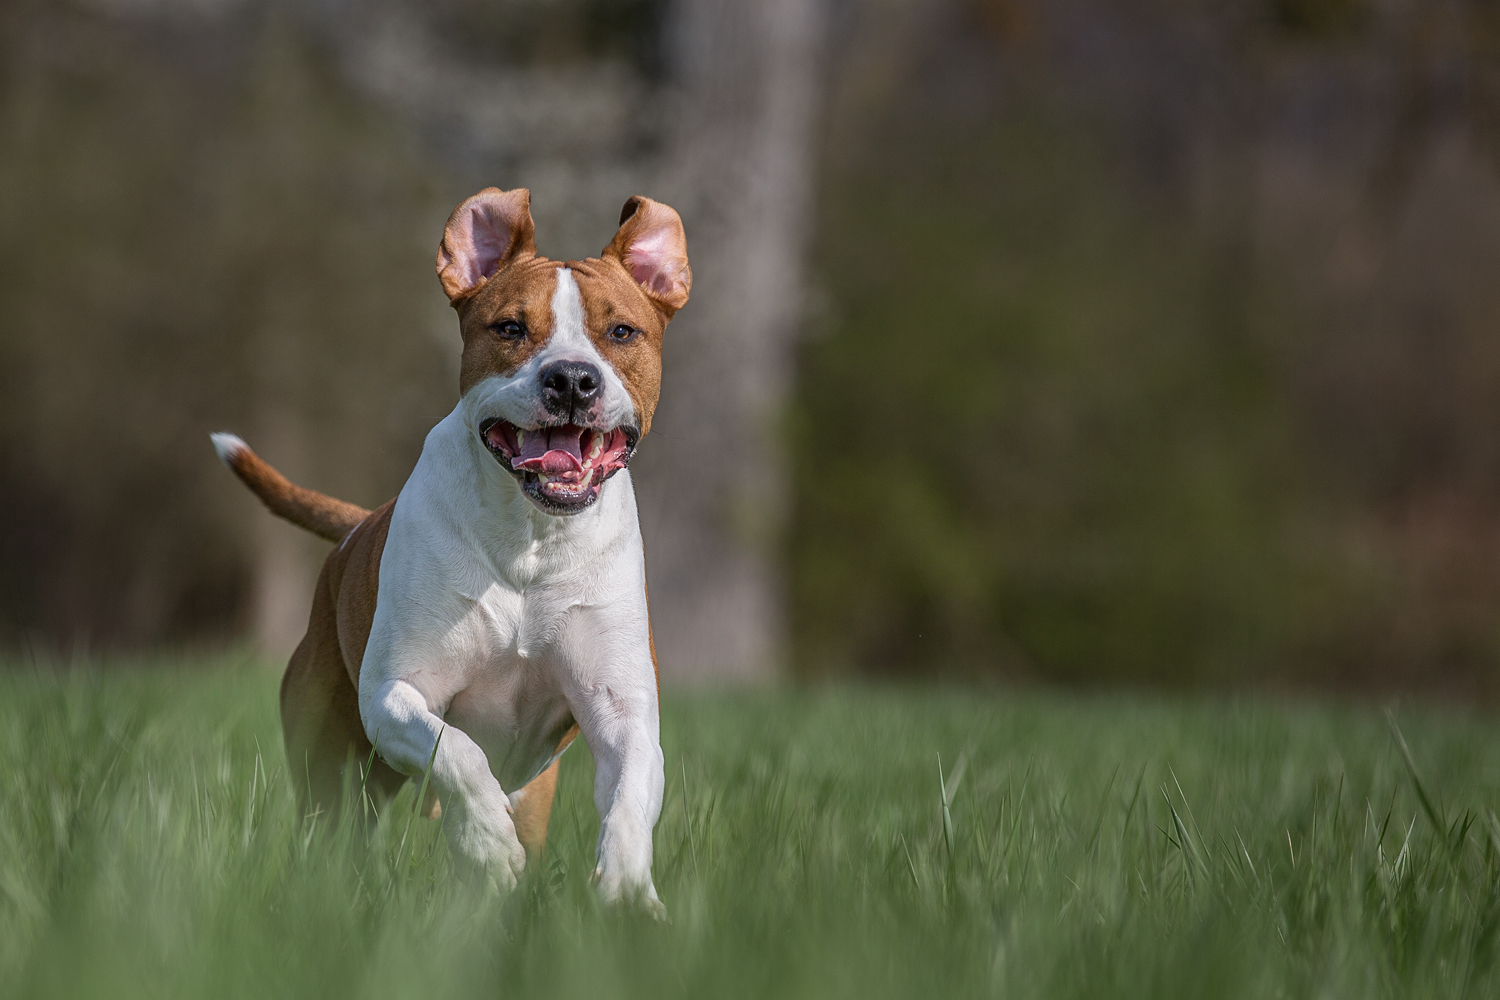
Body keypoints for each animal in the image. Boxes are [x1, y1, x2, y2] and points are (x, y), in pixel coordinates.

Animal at [211, 187, 690, 917]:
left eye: (622, 332)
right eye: (510, 328)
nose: (572, 380)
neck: (531, 538)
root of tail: (357, 527)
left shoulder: (622, 711)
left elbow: (632, 792)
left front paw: (630, 891)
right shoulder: (394, 696)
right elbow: (458, 752)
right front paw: (488, 841)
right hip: (334, 766)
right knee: (335, 827)